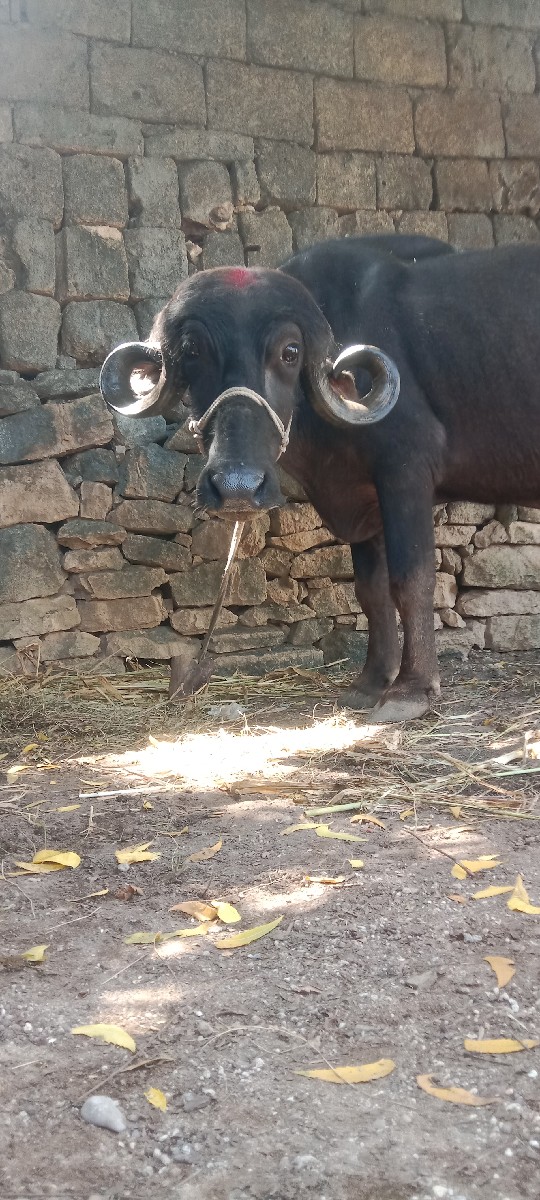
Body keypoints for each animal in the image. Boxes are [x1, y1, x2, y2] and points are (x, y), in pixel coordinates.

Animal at [100, 234, 540, 722]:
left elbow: (413, 579)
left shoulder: (405, 472)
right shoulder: (362, 498)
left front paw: (410, 689)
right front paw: (370, 682)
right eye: (193, 351)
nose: (237, 487)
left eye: (290, 353)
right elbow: (370, 591)